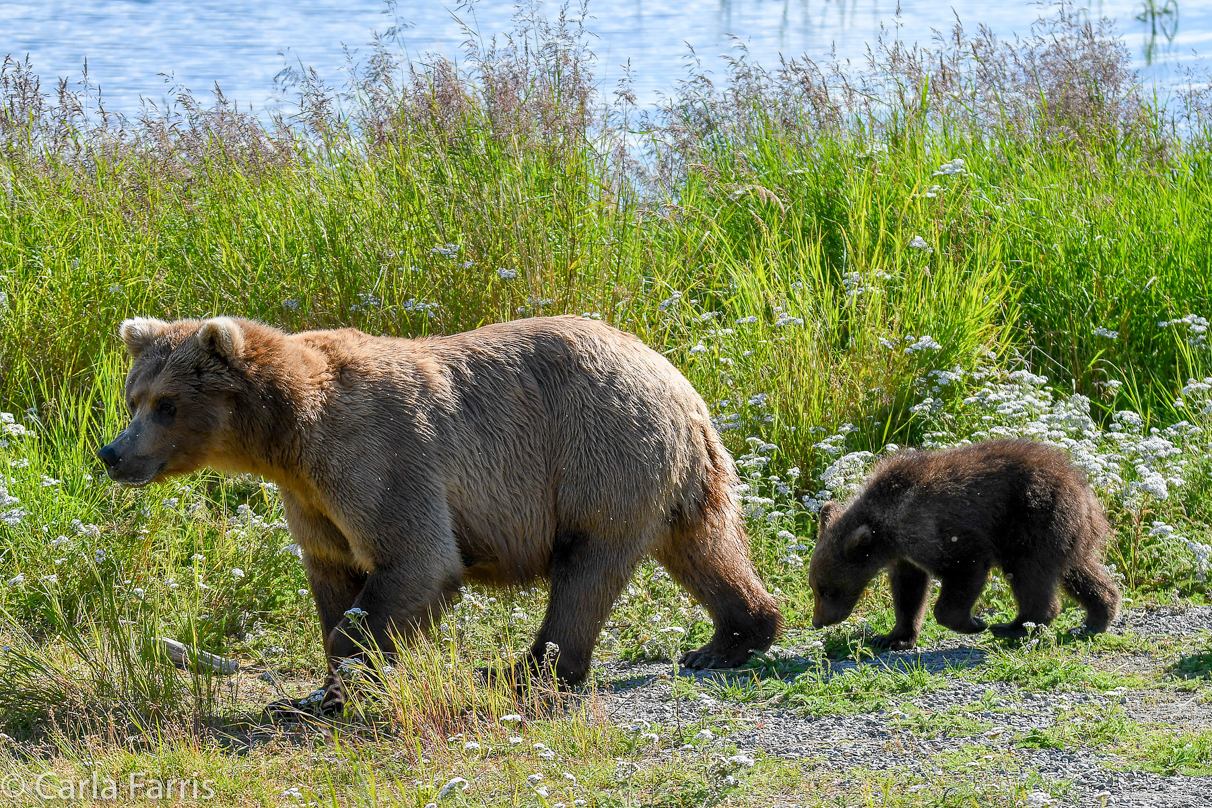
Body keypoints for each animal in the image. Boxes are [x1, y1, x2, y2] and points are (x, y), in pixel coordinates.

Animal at [99, 314, 780, 712]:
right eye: (134, 397)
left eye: (165, 404)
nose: (112, 453)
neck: (288, 435)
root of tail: (677, 381)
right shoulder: (314, 499)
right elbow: (331, 574)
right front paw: (325, 687)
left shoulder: (378, 455)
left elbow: (416, 560)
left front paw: (353, 676)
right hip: (668, 473)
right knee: (703, 545)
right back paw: (730, 638)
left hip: (597, 452)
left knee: (584, 572)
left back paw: (525, 671)